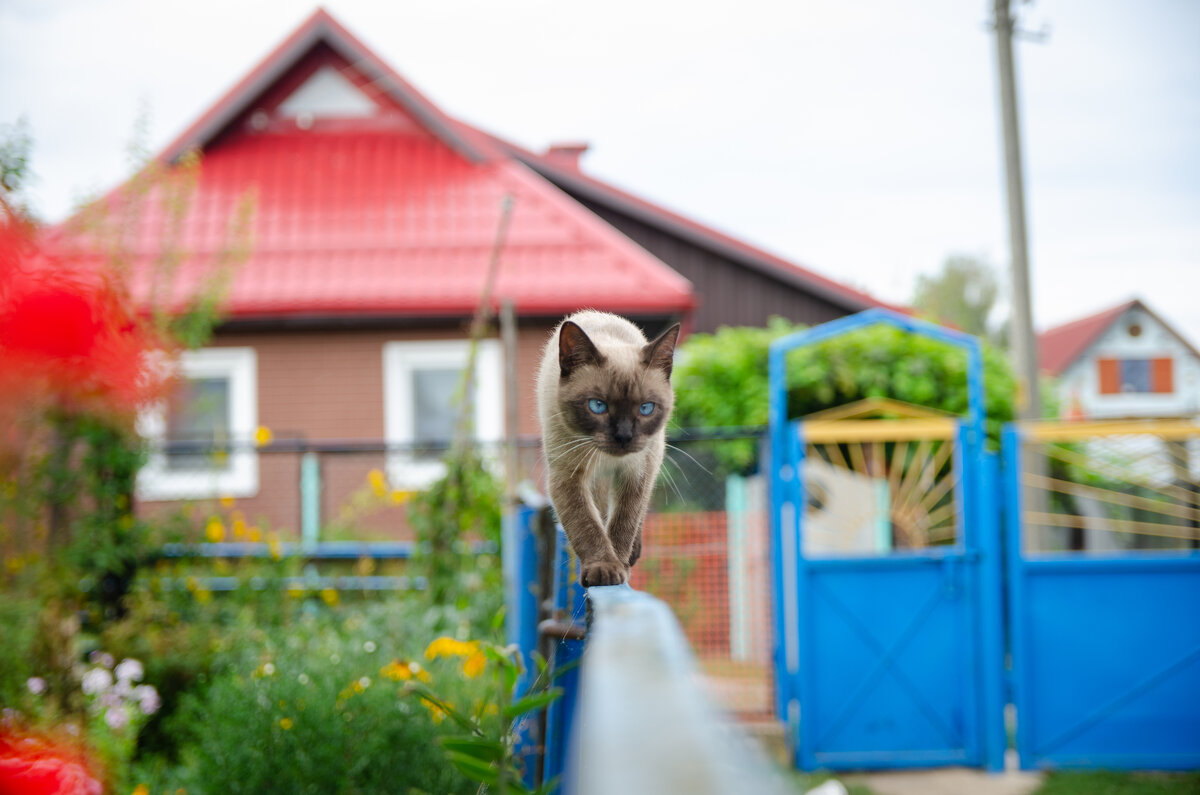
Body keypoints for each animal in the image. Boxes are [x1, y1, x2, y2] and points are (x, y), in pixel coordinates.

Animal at [540, 314, 681, 588]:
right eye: (598, 406)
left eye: (646, 408)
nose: (624, 437)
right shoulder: (568, 477)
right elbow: (586, 525)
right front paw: (603, 569)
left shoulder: (636, 473)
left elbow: (623, 524)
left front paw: (619, 567)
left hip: (651, 458)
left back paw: (632, 554)